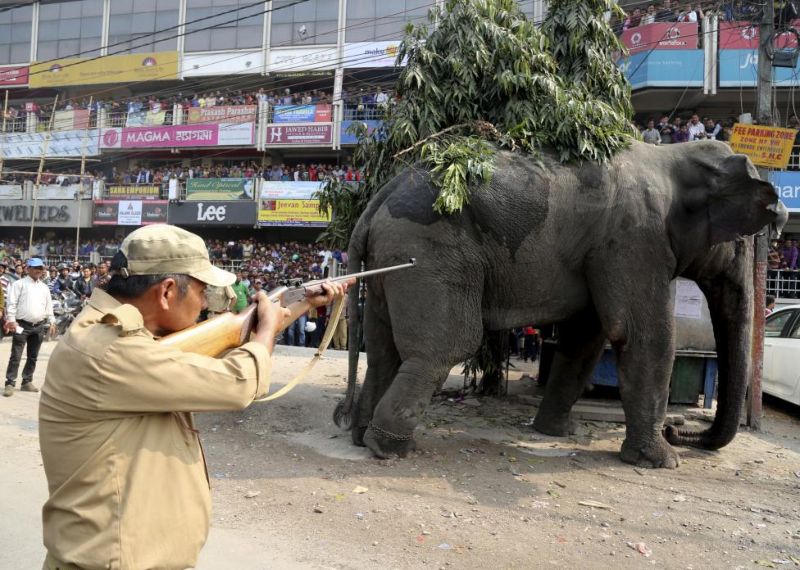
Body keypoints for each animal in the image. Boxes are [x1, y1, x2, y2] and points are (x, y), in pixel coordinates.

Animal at [332, 139, 788, 466]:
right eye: (744, 240)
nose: (679, 431)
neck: (671, 156)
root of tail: (377, 198)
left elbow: (588, 336)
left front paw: (557, 433)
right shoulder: (635, 238)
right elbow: (641, 335)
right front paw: (661, 461)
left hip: (390, 262)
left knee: (384, 346)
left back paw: (360, 437)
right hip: (427, 252)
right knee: (445, 347)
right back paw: (390, 449)